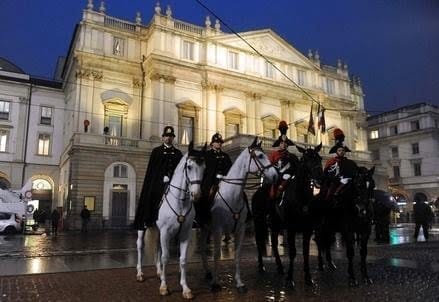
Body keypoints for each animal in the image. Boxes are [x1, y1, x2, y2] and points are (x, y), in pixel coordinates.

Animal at [136, 142, 206, 300]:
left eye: (204, 167)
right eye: (189, 167)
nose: (196, 195)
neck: (180, 201)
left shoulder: (184, 233)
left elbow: (182, 259)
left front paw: (185, 288)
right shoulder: (166, 232)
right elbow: (166, 257)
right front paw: (164, 286)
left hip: (158, 231)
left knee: (157, 248)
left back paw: (158, 272)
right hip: (142, 228)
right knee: (140, 247)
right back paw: (140, 273)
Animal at [200, 137, 276, 292]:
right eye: (260, 156)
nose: (275, 175)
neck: (232, 195)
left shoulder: (240, 229)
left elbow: (237, 255)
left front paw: (239, 282)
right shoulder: (218, 230)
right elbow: (216, 255)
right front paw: (216, 283)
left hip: (207, 228)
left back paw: (208, 272)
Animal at [251, 143, 324, 290]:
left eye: (320, 158)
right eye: (306, 160)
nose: (320, 177)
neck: (301, 197)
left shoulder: (307, 229)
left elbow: (306, 252)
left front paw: (308, 278)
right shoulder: (291, 228)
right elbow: (293, 252)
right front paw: (290, 279)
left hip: (275, 223)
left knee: (273, 243)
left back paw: (279, 267)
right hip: (259, 221)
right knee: (259, 241)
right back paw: (261, 266)